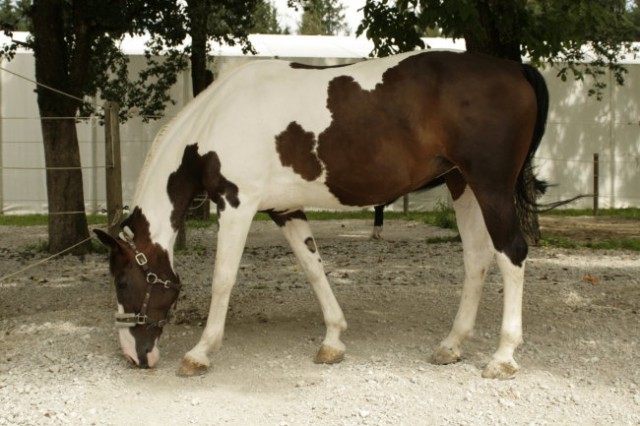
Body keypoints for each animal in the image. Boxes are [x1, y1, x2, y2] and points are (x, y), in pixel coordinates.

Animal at [95, 49, 552, 380]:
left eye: (122, 281)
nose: (133, 356)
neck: (216, 120)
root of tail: (515, 68)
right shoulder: (284, 209)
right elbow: (314, 268)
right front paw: (332, 340)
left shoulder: (236, 204)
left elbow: (222, 280)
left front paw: (200, 353)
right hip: (463, 186)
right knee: (477, 258)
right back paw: (451, 345)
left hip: (491, 187)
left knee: (511, 254)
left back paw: (503, 357)